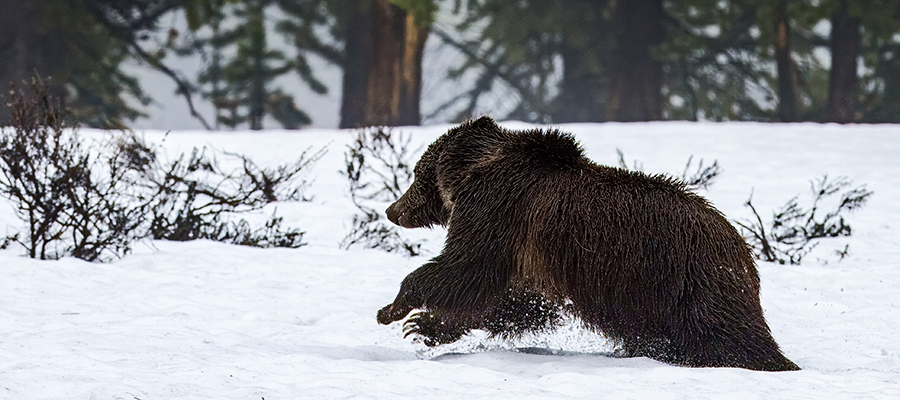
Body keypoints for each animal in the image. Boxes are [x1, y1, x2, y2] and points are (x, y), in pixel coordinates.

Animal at [376, 116, 799, 371]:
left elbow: (467, 270)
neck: (476, 172)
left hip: (682, 279)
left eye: (415, 174)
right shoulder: (530, 253)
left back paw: (770, 362)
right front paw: (426, 326)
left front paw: (398, 309)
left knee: (727, 334)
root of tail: (744, 249)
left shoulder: (498, 211)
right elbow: (517, 299)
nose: (392, 210)